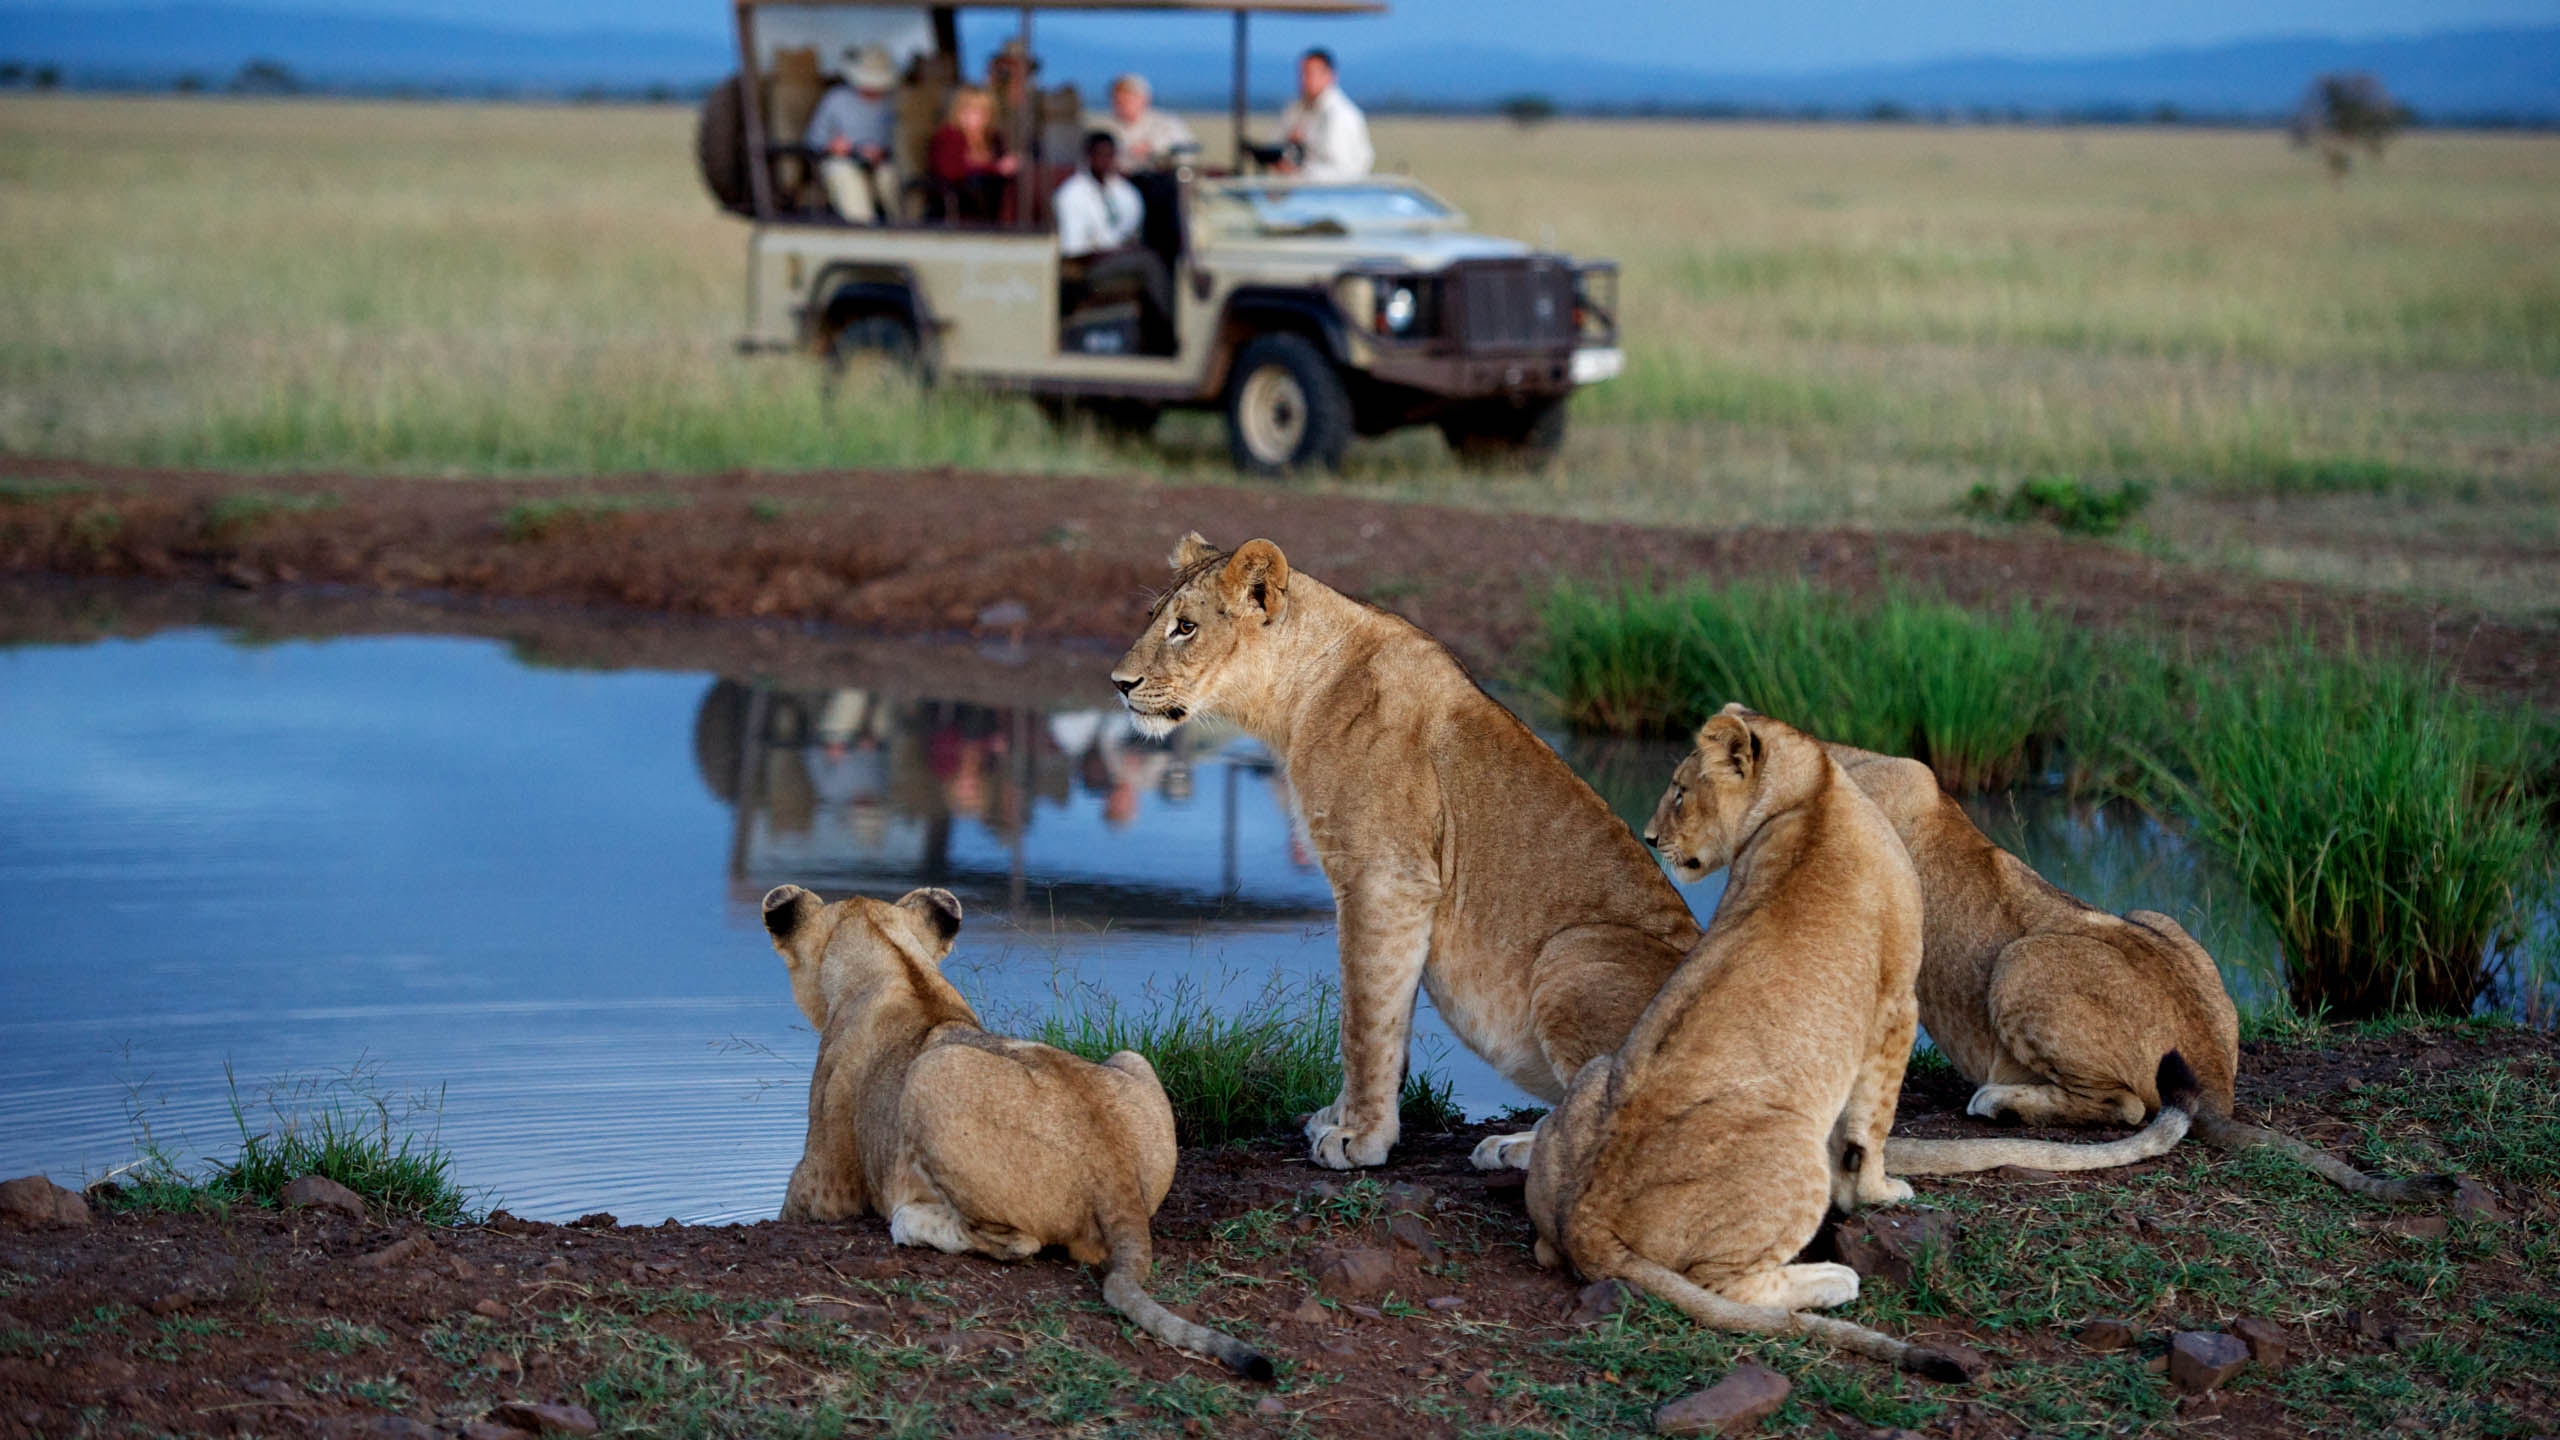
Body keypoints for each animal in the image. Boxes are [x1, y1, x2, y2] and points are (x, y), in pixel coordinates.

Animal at [761, 882, 1272, 1379]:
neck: (896, 960)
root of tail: (1116, 1177)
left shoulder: (826, 1185)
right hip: (1132, 1058)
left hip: (933, 1072)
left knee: (1017, 1243)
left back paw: (911, 1221)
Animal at [1110, 534, 1700, 1170]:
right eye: (1153, 617)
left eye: (1185, 627)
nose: (1119, 683)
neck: (1296, 698)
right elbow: (1377, 1011)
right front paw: (1342, 1117)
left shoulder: (1385, 878)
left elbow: (1365, 1019)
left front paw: (1361, 1138)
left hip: (1574, 951)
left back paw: (1516, 1146)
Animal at [1524, 707, 1966, 1378]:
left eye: (1681, 792)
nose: (1650, 838)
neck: (1811, 788)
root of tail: (1586, 1219)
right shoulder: (1896, 1001)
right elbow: (1872, 1124)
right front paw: (1878, 1192)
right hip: (1792, 1151)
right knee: (1724, 1286)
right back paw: (1834, 1279)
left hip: (1597, 1074)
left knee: (1548, 1249)